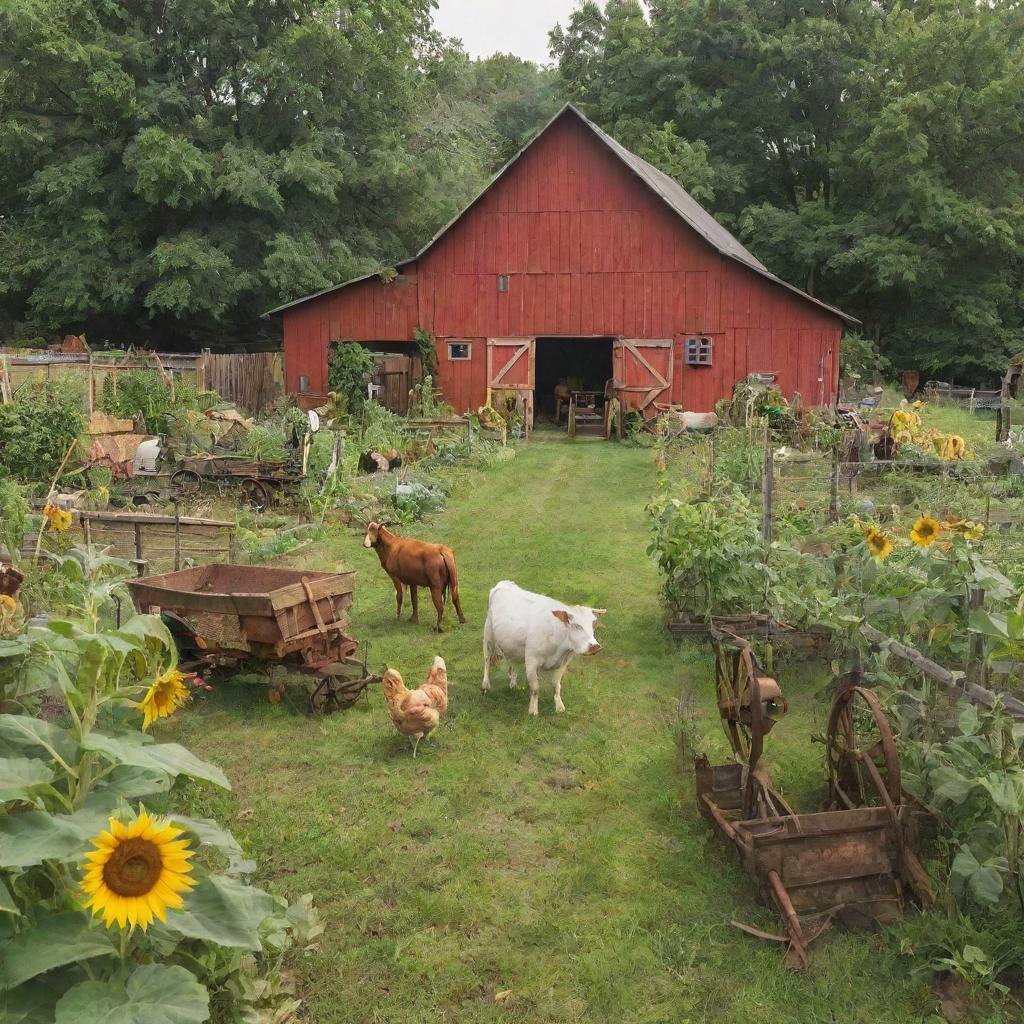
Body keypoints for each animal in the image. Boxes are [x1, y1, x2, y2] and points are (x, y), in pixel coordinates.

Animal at [481, 581, 602, 716]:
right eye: (576, 625)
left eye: (594, 624)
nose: (595, 646)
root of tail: (504, 583)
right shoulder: (531, 662)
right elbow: (535, 688)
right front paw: (533, 710)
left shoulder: (563, 663)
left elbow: (556, 686)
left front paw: (559, 707)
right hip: (488, 634)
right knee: (487, 659)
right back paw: (485, 685)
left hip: (512, 643)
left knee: (512, 661)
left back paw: (513, 683)